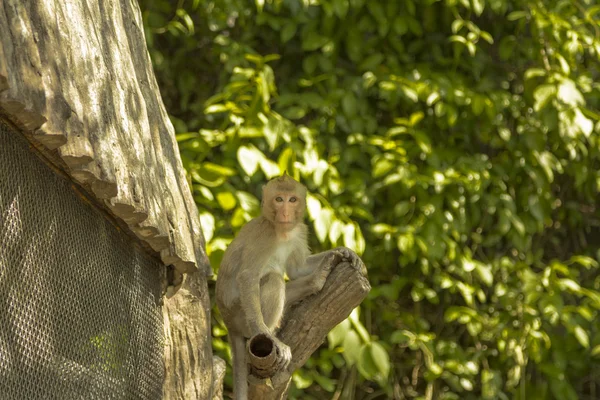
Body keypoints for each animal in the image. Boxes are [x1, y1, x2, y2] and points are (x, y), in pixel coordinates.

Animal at [216, 175, 360, 400]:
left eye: (292, 200)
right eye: (279, 199)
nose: (285, 211)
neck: (281, 231)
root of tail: (228, 322)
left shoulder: (299, 231)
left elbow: (297, 270)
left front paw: (341, 252)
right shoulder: (264, 235)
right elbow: (248, 276)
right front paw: (267, 335)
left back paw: (317, 279)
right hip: (240, 314)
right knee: (273, 280)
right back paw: (267, 335)